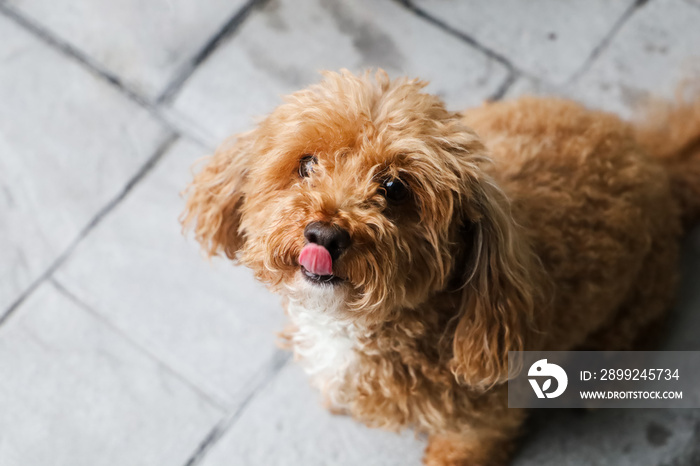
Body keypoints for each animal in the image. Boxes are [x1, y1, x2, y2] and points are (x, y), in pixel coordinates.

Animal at [182, 70, 700, 466]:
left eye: (394, 188)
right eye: (306, 163)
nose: (325, 235)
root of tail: (657, 163)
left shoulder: (485, 417)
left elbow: (465, 447)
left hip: (630, 313)